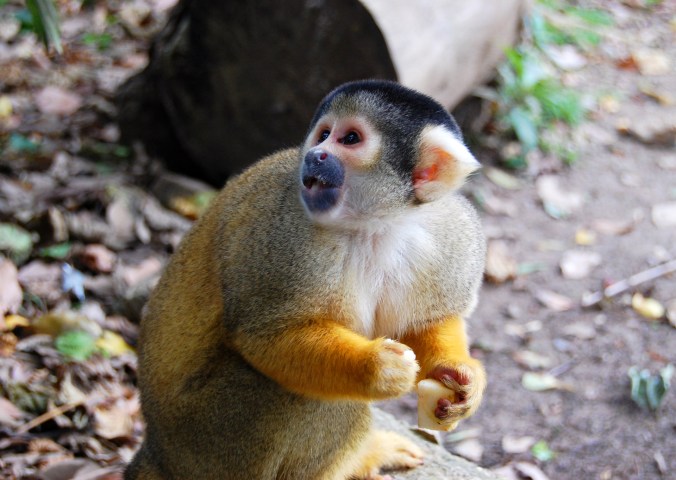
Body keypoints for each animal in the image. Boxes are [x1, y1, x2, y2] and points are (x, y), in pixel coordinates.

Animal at [125, 80, 486, 480]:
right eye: (323, 134)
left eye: (350, 138)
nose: (316, 155)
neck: (372, 224)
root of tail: (158, 450)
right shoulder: (279, 229)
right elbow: (266, 336)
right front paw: (374, 367)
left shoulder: (451, 230)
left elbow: (425, 323)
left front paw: (460, 376)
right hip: (209, 446)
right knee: (309, 397)